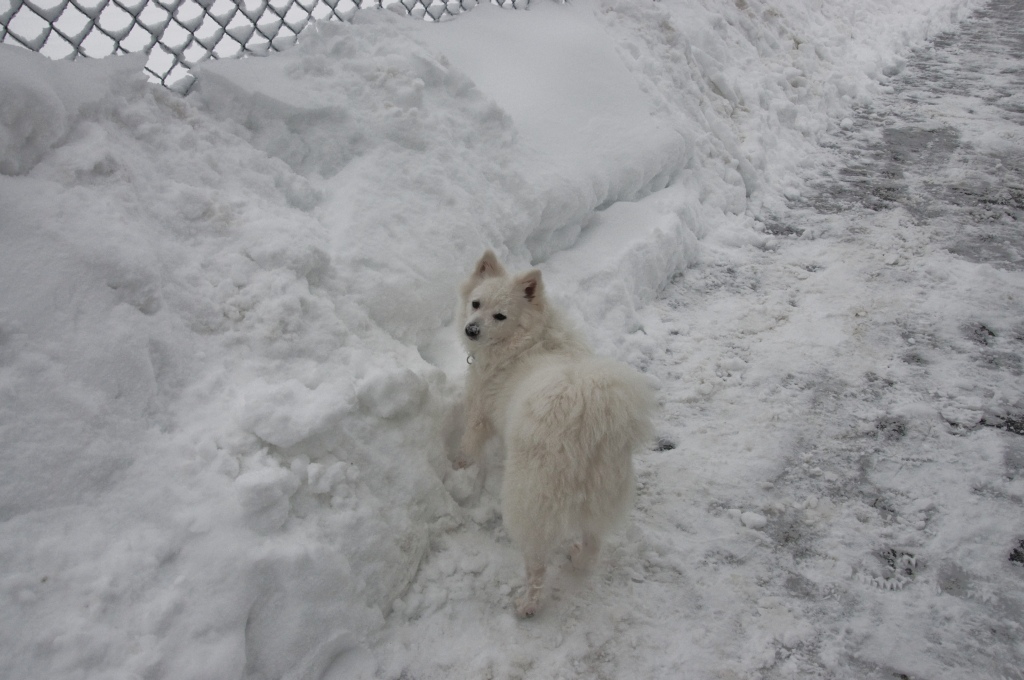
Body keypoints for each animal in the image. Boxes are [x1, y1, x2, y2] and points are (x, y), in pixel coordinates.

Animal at [456, 249, 655, 614]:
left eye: (500, 315)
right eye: (476, 303)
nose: (471, 329)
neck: (527, 340)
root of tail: (588, 421)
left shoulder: (478, 412)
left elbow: (468, 446)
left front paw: (457, 469)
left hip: (529, 499)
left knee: (536, 562)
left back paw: (527, 604)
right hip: (601, 495)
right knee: (594, 542)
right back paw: (578, 559)